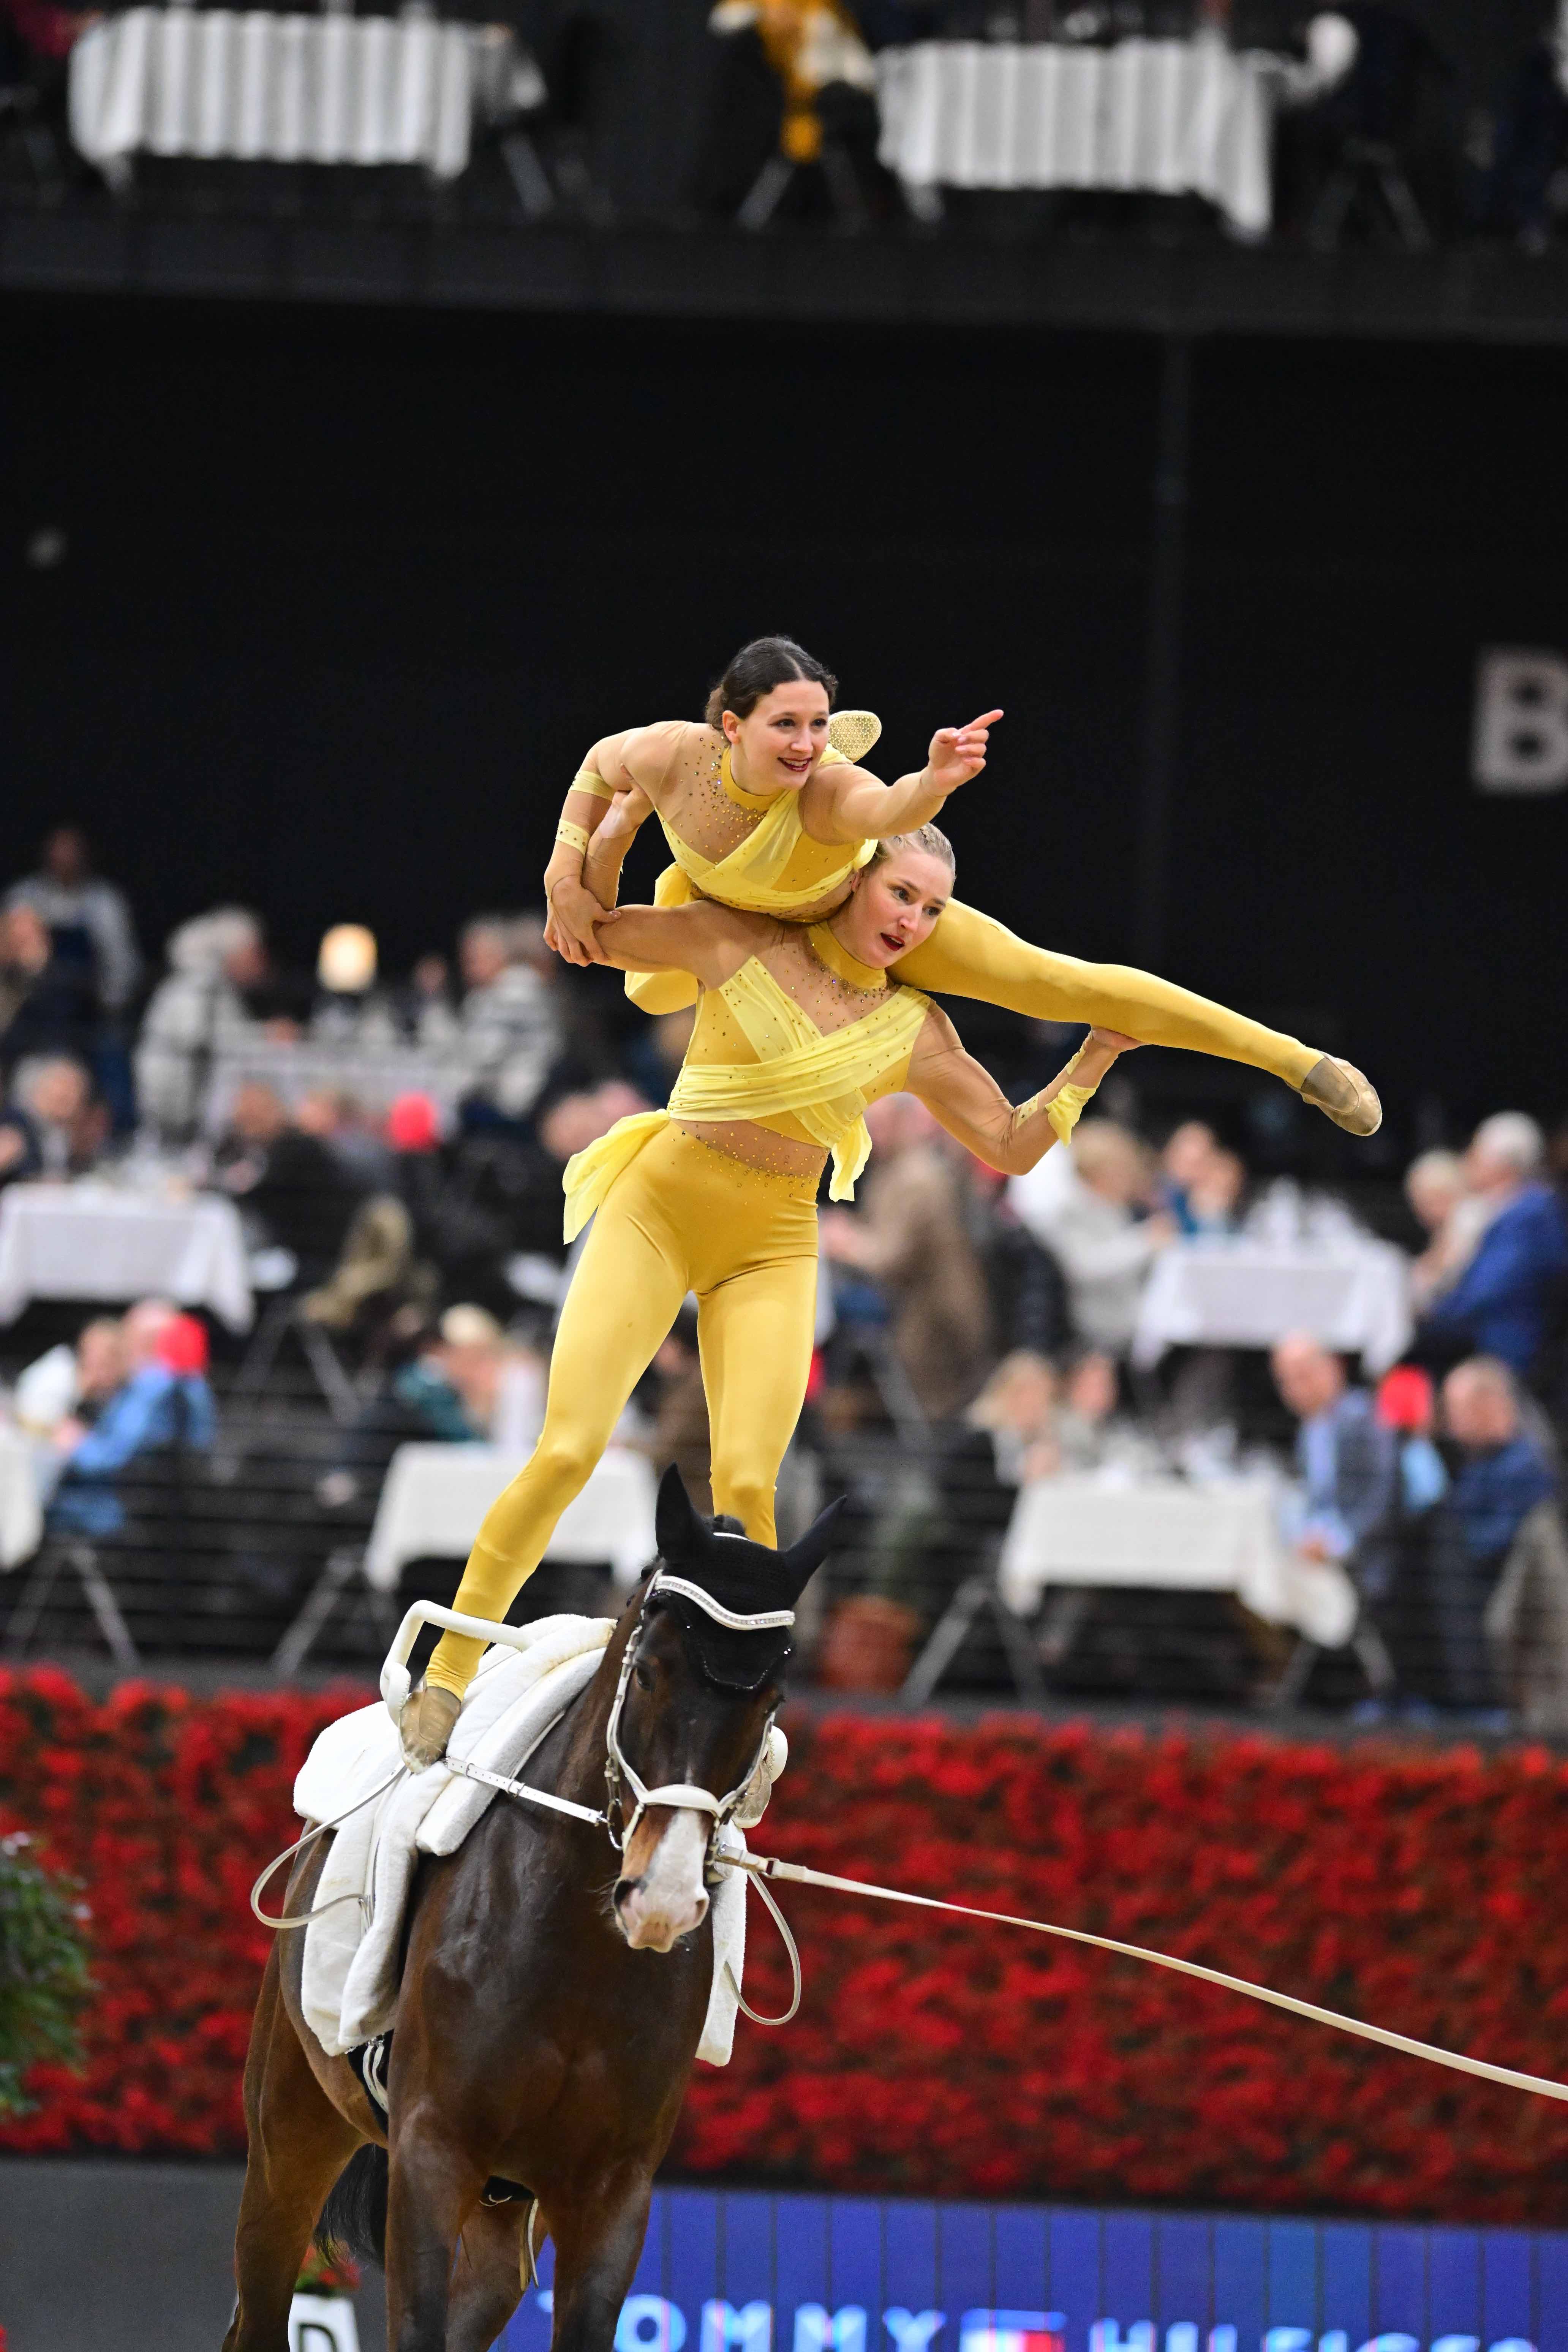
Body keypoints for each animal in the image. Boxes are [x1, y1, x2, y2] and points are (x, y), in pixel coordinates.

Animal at [226, 1467, 841, 2352]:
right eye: (649, 1672)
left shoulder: (611, 2190)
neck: (576, 1960)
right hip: (291, 2128)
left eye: (774, 1698)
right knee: (262, 2301)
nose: (662, 1895)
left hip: (507, 2207)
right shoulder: (431, 2151)